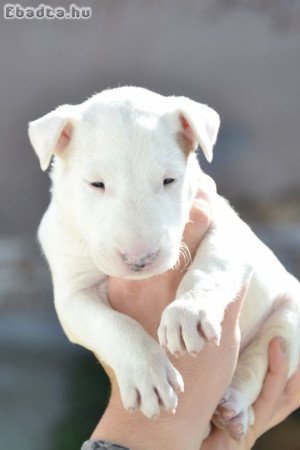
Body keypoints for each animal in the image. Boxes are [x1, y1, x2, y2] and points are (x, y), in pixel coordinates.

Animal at [28, 87, 300, 440]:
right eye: (96, 184)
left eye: (169, 180)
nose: (140, 260)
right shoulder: (72, 295)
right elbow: (113, 323)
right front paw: (148, 374)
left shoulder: (231, 229)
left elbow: (210, 266)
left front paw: (188, 313)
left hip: (289, 318)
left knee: (259, 361)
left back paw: (234, 408)